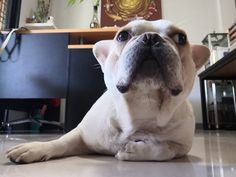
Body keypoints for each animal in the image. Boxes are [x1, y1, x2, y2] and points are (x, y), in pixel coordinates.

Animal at [5, 19, 209, 163]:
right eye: (122, 36)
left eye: (181, 38)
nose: (151, 37)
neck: (143, 106)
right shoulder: (82, 135)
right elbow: (60, 142)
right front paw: (35, 148)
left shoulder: (182, 146)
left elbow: (166, 149)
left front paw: (135, 150)